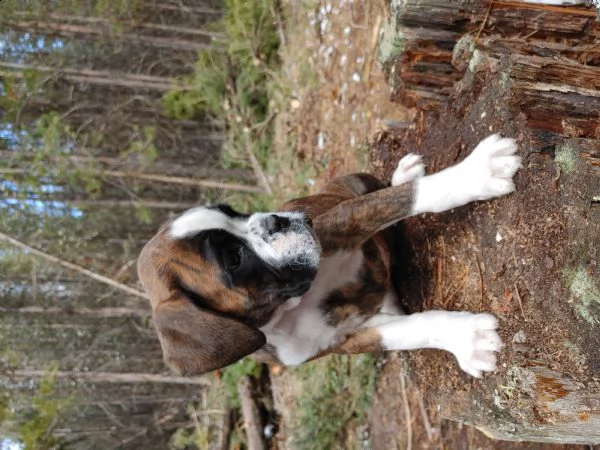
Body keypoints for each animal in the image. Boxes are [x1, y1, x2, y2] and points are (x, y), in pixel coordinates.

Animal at [137, 135, 520, 378]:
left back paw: (403, 175)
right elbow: (409, 331)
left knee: (389, 192)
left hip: (351, 184)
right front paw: (466, 339)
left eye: (233, 211)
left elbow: (411, 196)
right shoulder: (349, 339)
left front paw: (477, 172)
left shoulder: (344, 219)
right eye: (233, 258)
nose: (277, 219)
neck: (293, 306)